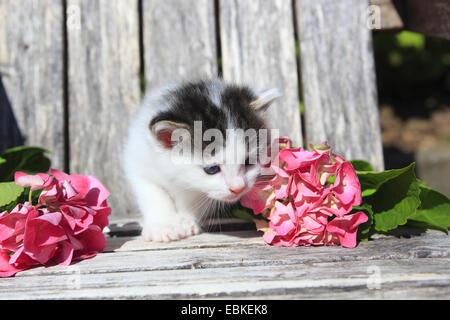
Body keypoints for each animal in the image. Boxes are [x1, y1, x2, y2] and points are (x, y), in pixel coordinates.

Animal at [123, 79, 278, 241]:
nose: (238, 188)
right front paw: (164, 226)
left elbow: (194, 199)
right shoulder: (139, 163)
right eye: (212, 169)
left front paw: (186, 220)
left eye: (248, 162)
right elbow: (153, 194)